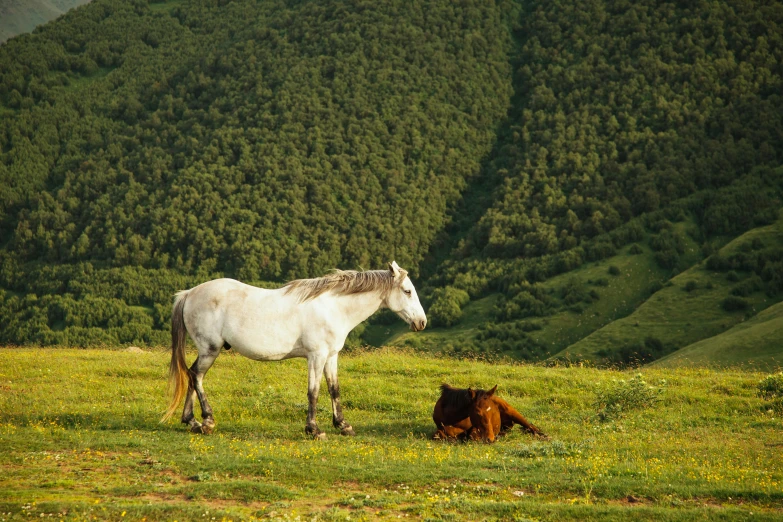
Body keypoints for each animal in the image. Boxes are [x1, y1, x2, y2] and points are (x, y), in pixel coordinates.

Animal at [162, 262, 426, 436]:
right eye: (407, 291)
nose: (422, 322)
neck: (333, 307)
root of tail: (189, 293)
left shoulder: (331, 356)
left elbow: (334, 389)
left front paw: (343, 425)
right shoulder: (316, 356)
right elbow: (314, 392)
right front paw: (314, 430)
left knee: (192, 375)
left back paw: (191, 422)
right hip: (210, 349)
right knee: (196, 376)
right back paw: (207, 421)